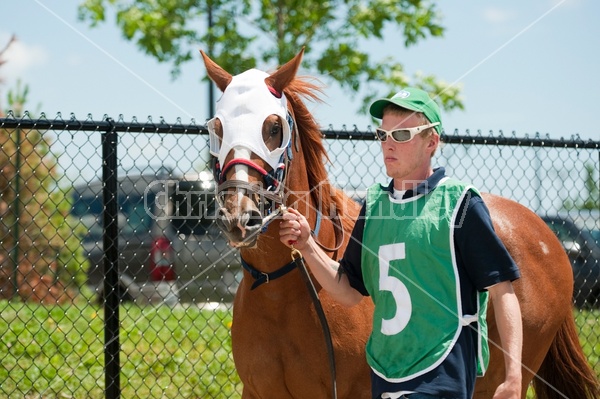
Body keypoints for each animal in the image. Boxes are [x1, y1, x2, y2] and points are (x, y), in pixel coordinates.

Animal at [199, 50, 596, 399]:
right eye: (216, 128)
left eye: (273, 127)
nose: (238, 215)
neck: (282, 287)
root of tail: (545, 234)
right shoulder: (257, 391)